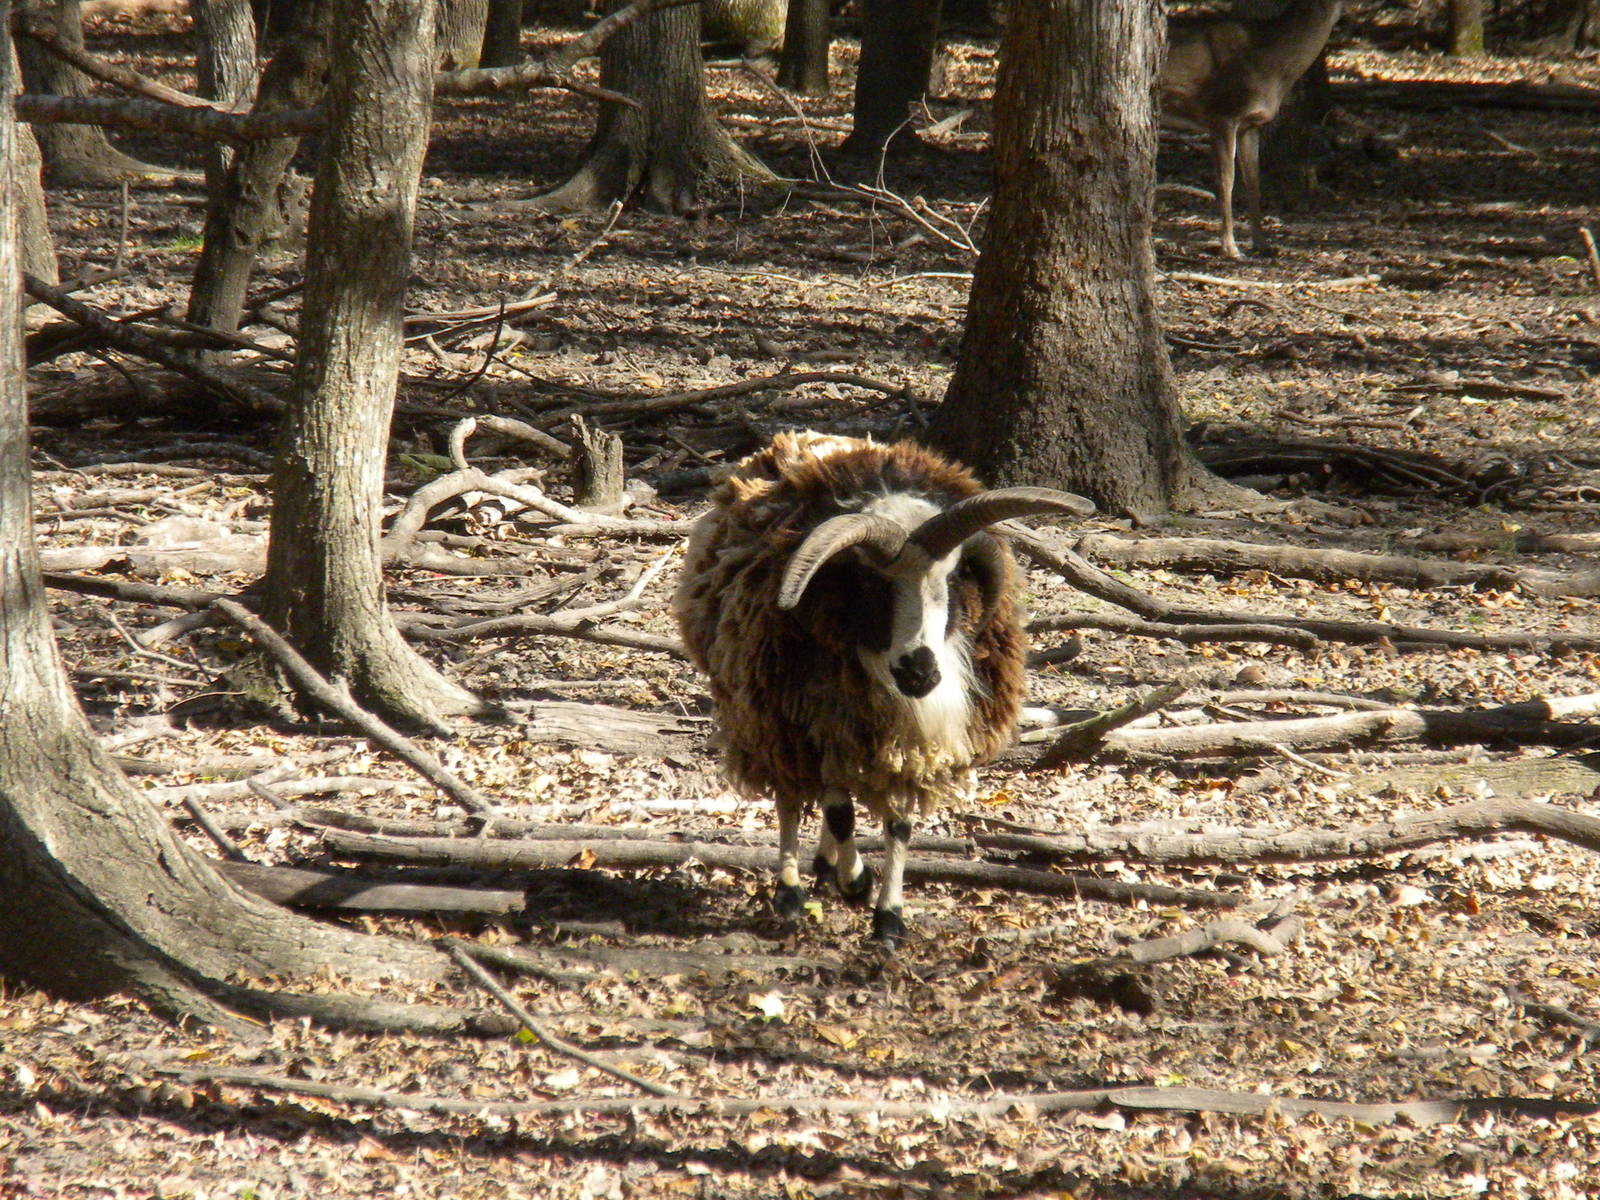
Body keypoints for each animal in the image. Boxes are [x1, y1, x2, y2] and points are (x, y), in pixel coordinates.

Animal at [672, 431, 1094, 949]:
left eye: (952, 578)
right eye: (873, 583)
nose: (920, 672)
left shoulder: (904, 743)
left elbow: (898, 823)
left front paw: (888, 918)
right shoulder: (820, 720)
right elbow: (838, 811)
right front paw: (856, 883)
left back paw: (824, 867)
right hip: (771, 714)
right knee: (790, 796)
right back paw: (792, 893)